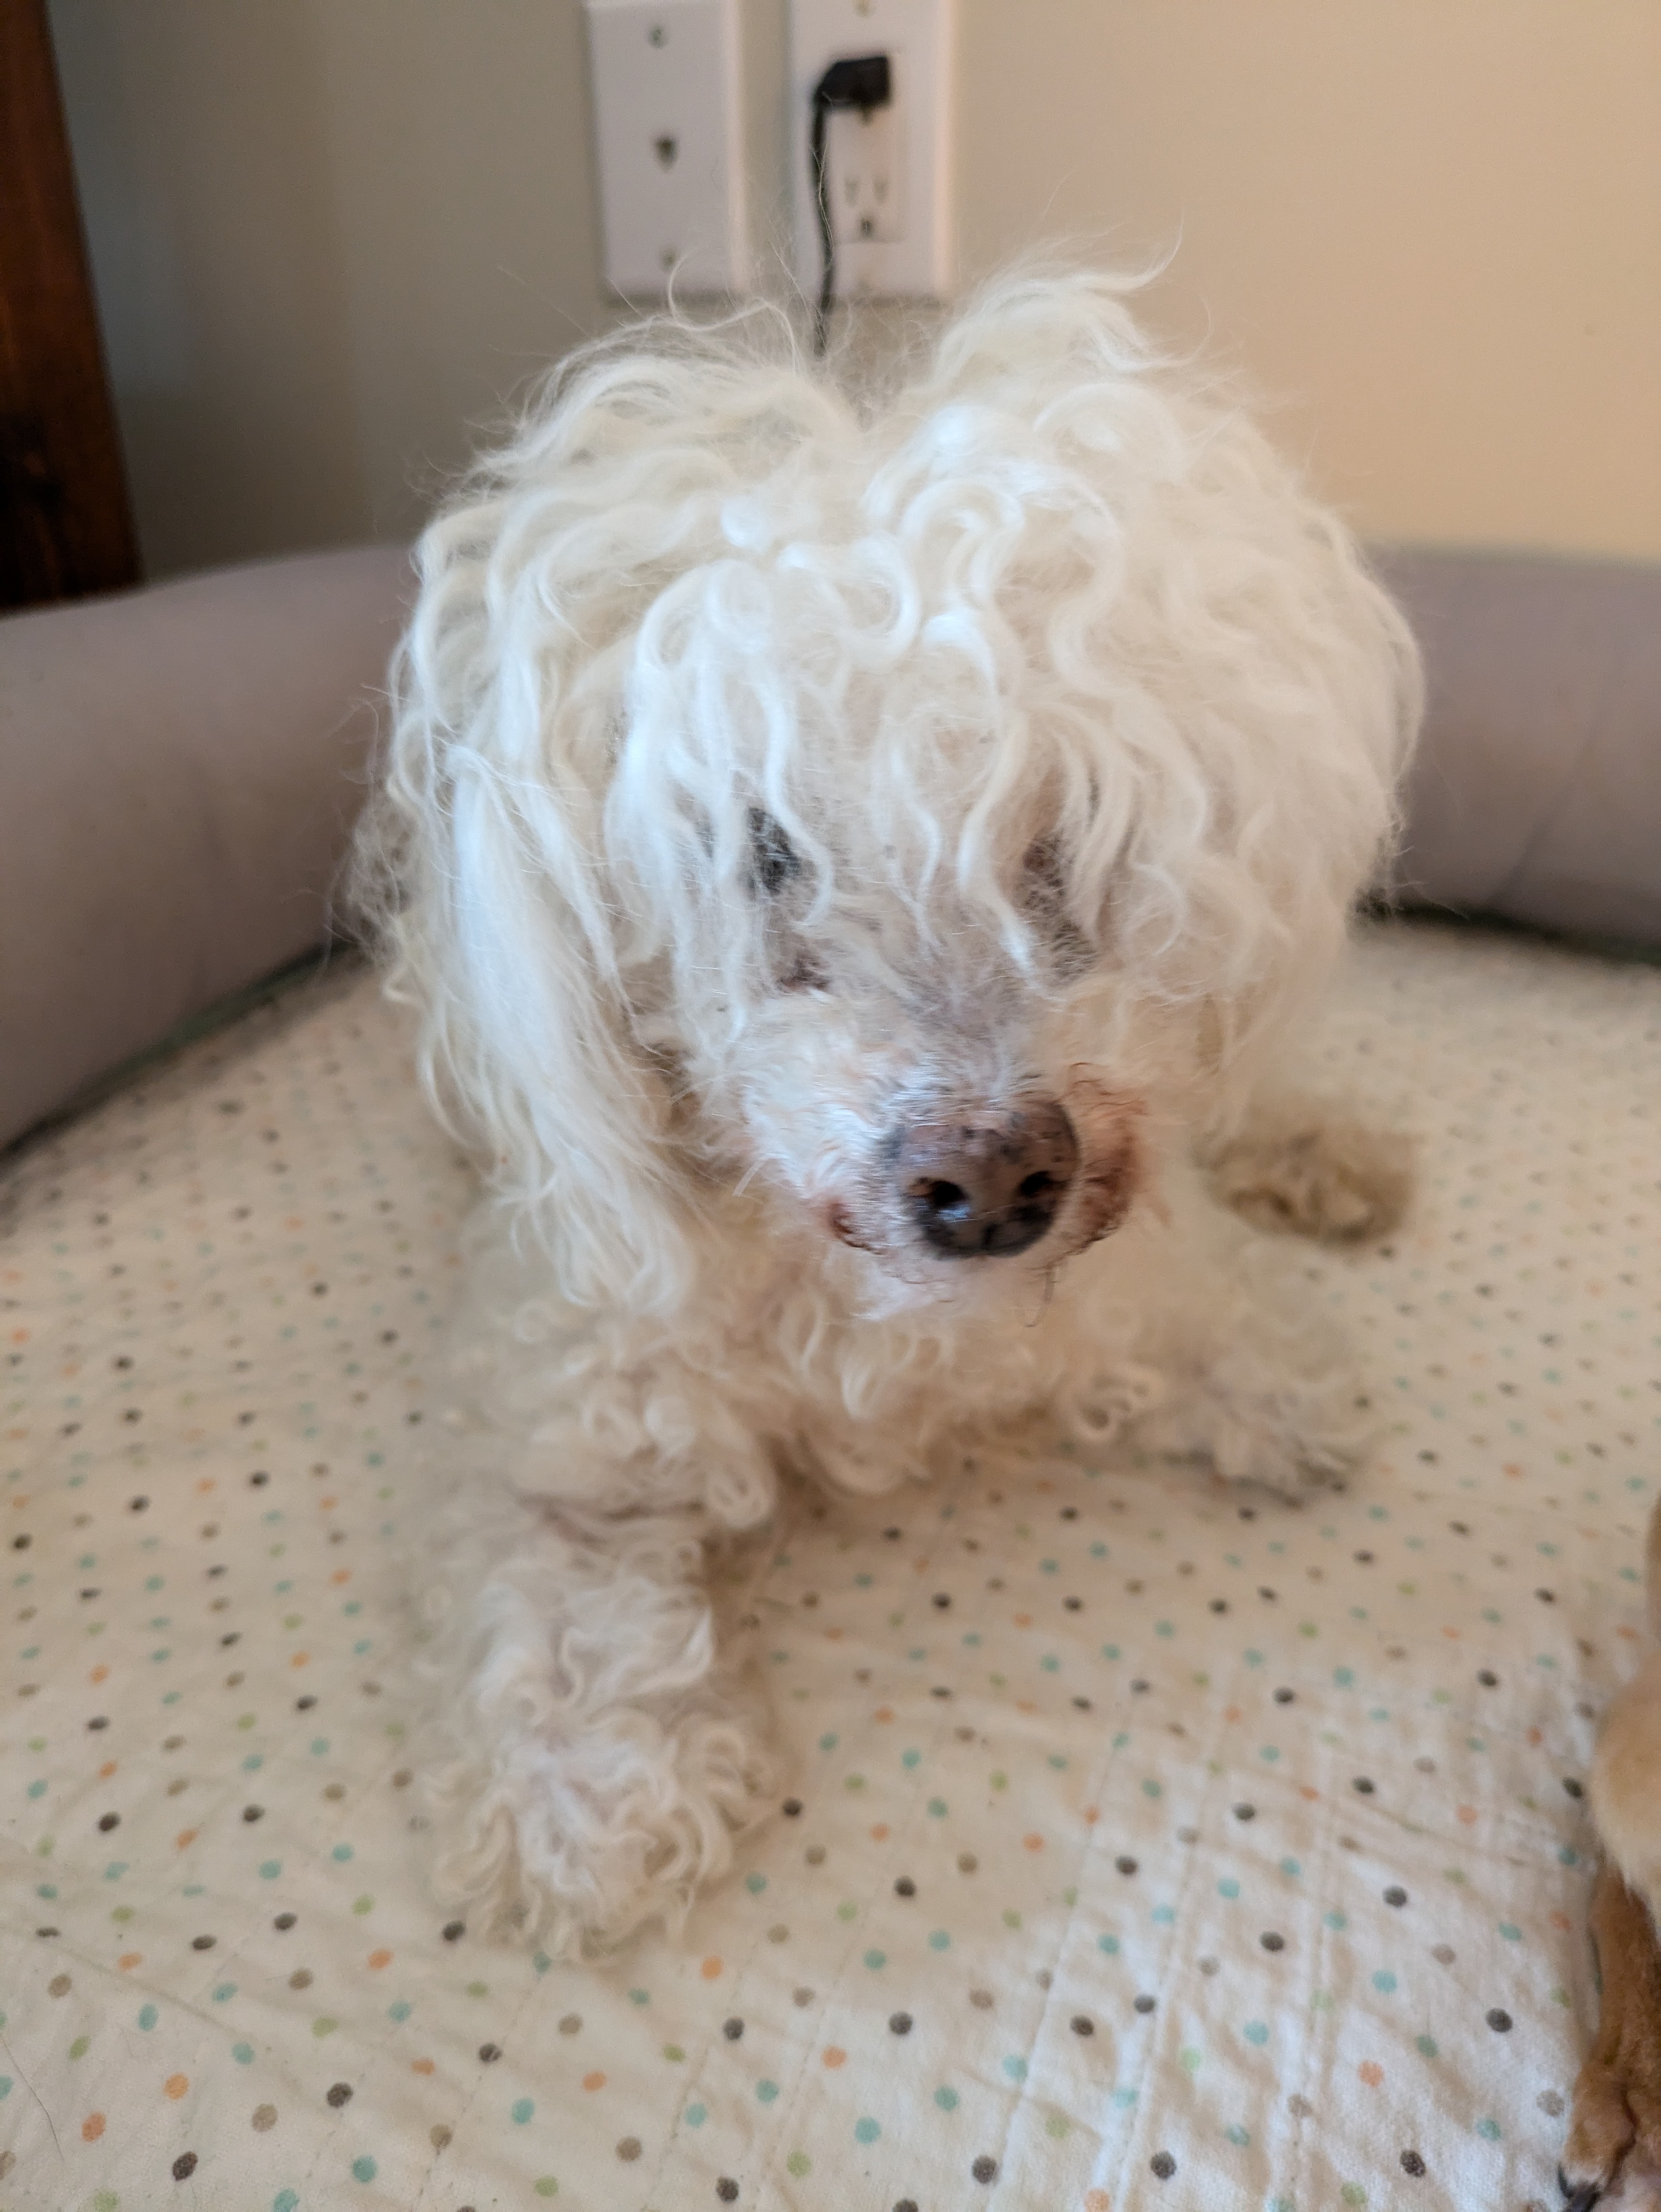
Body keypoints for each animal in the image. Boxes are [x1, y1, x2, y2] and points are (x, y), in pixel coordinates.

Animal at [356, 268, 1421, 1958]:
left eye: (1059, 835)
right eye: (764, 849)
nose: (994, 1180)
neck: (870, 1321)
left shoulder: (1122, 1261)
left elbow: (1190, 1305)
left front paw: (1273, 1377)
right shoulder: (545, 1418)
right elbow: (550, 1604)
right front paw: (589, 1806)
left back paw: (1316, 1151)